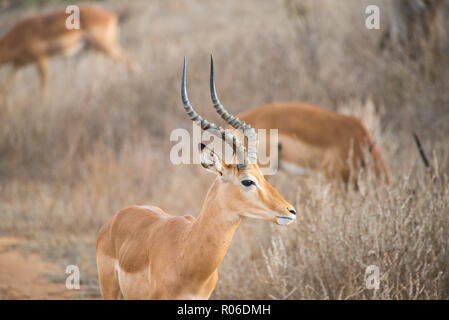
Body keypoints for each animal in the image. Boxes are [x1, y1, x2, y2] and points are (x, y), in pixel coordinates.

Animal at [0, 5, 136, 98]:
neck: (18, 35)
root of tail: (111, 15)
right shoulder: (18, 65)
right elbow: (6, 87)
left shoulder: (41, 58)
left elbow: (43, 85)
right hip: (98, 50)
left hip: (105, 46)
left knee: (128, 60)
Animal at [96, 58, 296, 300]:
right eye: (247, 181)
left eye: (262, 177)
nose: (290, 211)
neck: (188, 251)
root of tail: (114, 220)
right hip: (109, 290)